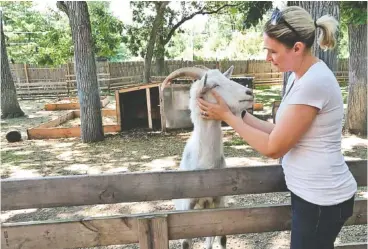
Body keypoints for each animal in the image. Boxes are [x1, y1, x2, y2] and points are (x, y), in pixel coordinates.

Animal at [162, 66, 254, 249]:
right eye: (215, 85)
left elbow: (222, 237)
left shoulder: (219, 201)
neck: (206, 167)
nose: (249, 92)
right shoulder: (187, 205)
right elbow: (185, 242)